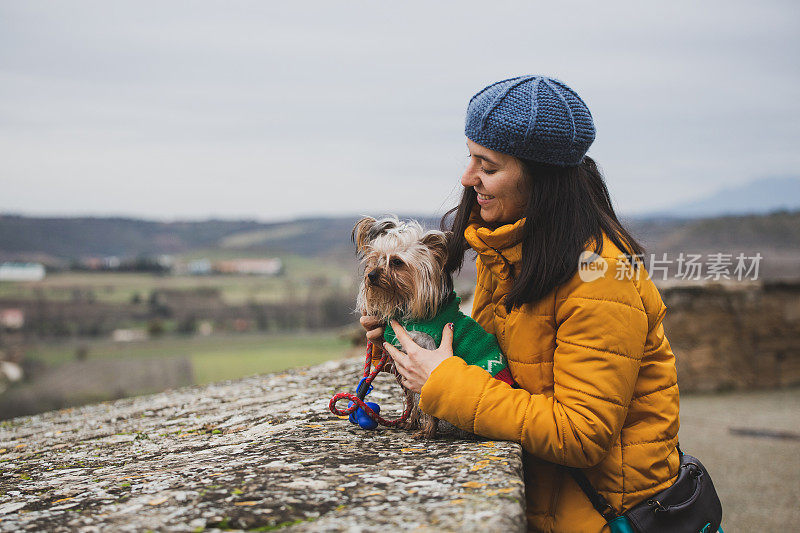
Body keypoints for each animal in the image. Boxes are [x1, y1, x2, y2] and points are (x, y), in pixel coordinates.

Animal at [352, 214, 512, 438]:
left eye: (397, 262)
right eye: (375, 258)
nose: (372, 275)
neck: (404, 303)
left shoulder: (423, 354)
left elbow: (423, 398)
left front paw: (427, 431)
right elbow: (411, 398)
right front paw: (411, 422)